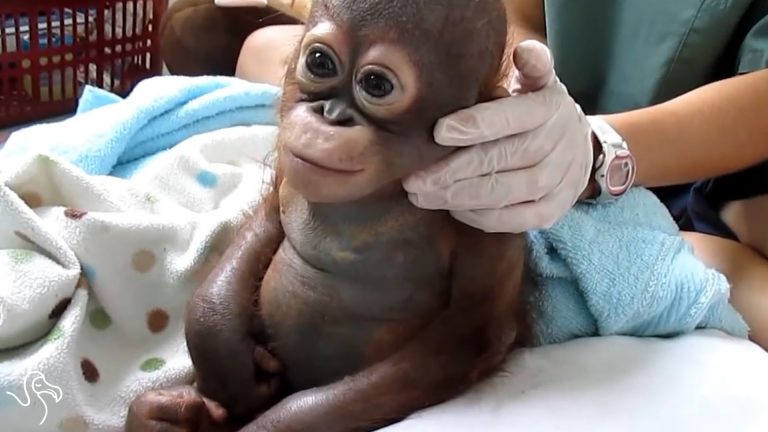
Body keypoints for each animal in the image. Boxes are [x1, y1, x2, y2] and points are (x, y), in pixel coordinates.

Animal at [125, 0, 533, 430]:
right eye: (320, 62)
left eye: (377, 85)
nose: (331, 114)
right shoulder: (288, 173)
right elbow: (266, 224)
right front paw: (227, 362)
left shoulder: (489, 215)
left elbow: (467, 333)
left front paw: (265, 421)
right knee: (150, 408)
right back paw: (173, 412)